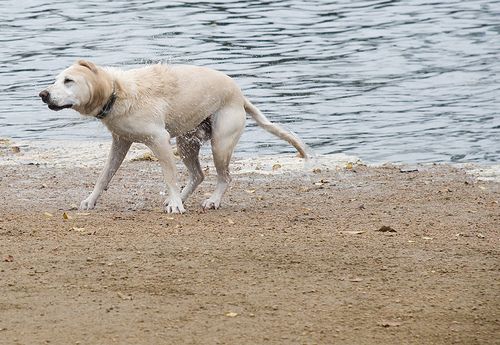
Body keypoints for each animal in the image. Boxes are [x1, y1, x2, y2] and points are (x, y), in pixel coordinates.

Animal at [41, 60, 308, 214]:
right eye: (56, 80)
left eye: (68, 80)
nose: (43, 94)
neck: (117, 92)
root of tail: (240, 95)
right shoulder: (120, 141)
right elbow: (104, 176)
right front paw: (90, 200)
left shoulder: (159, 139)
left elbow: (169, 175)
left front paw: (176, 205)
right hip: (185, 142)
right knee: (198, 175)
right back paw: (180, 197)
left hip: (220, 143)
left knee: (225, 177)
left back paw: (211, 200)